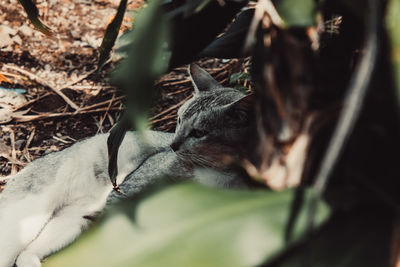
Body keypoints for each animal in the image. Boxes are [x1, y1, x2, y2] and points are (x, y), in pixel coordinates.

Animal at [0, 63, 253, 266]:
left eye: (199, 132)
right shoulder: (129, 191)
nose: (173, 144)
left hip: (71, 221)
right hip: (27, 218)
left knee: (26, 253)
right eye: (179, 120)